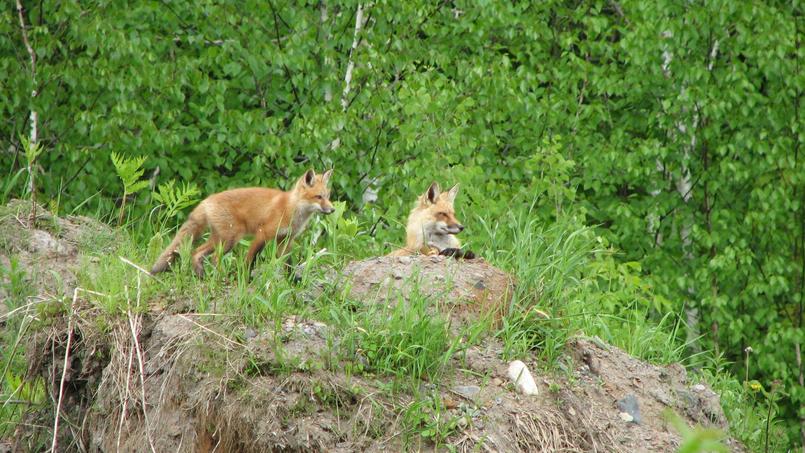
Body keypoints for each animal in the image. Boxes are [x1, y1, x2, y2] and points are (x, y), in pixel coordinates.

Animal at [150, 169, 332, 278]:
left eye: (328, 196)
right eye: (318, 197)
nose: (333, 209)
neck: (291, 208)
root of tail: (206, 200)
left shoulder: (285, 240)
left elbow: (288, 264)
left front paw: (292, 281)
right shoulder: (262, 234)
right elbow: (250, 259)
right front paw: (245, 279)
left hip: (219, 238)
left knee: (196, 252)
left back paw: (201, 276)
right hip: (231, 239)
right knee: (214, 257)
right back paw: (220, 276)